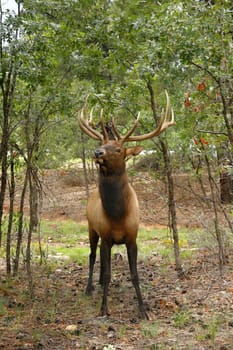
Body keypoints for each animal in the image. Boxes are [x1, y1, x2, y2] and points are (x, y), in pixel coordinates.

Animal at [78, 91, 175, 318]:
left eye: (118, 149)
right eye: (103, 144)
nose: (97, 152)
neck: (118, 214)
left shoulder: (132, 237)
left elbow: (134, 274)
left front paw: (143, 310)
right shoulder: (105, 235)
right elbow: (109, 271)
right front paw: (104, 308)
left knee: (101, 261)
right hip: (91, 227)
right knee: (92, 256)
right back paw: (89, 287)